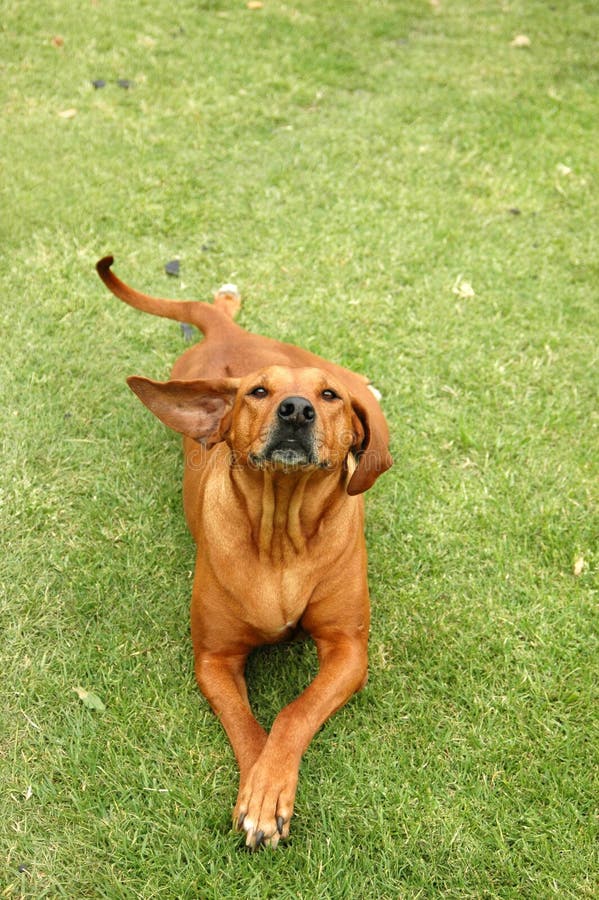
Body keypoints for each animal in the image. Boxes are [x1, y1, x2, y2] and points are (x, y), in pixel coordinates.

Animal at [96, 256, 392, 848]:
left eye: (327, 398)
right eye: (257, 392)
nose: (296, 409)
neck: (280, 534)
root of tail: (227, 337)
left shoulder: (349, 650)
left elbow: (294, 713)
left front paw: (268, 788)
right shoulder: (215, 659)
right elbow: (250, 729)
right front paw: (261, 790)